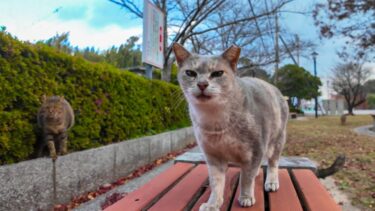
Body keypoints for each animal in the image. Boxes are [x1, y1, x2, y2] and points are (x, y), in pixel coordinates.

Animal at [172, 43, 290, 210]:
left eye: (218, 73)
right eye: (190, 73)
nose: (202, 84)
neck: (215, 121)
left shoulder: (255, 150)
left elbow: (246, 179)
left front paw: (246, 197)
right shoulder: (213, 157)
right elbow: (216, 183)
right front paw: (213, 203)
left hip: (277, 141)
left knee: (273, 163)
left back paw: (271, 181)